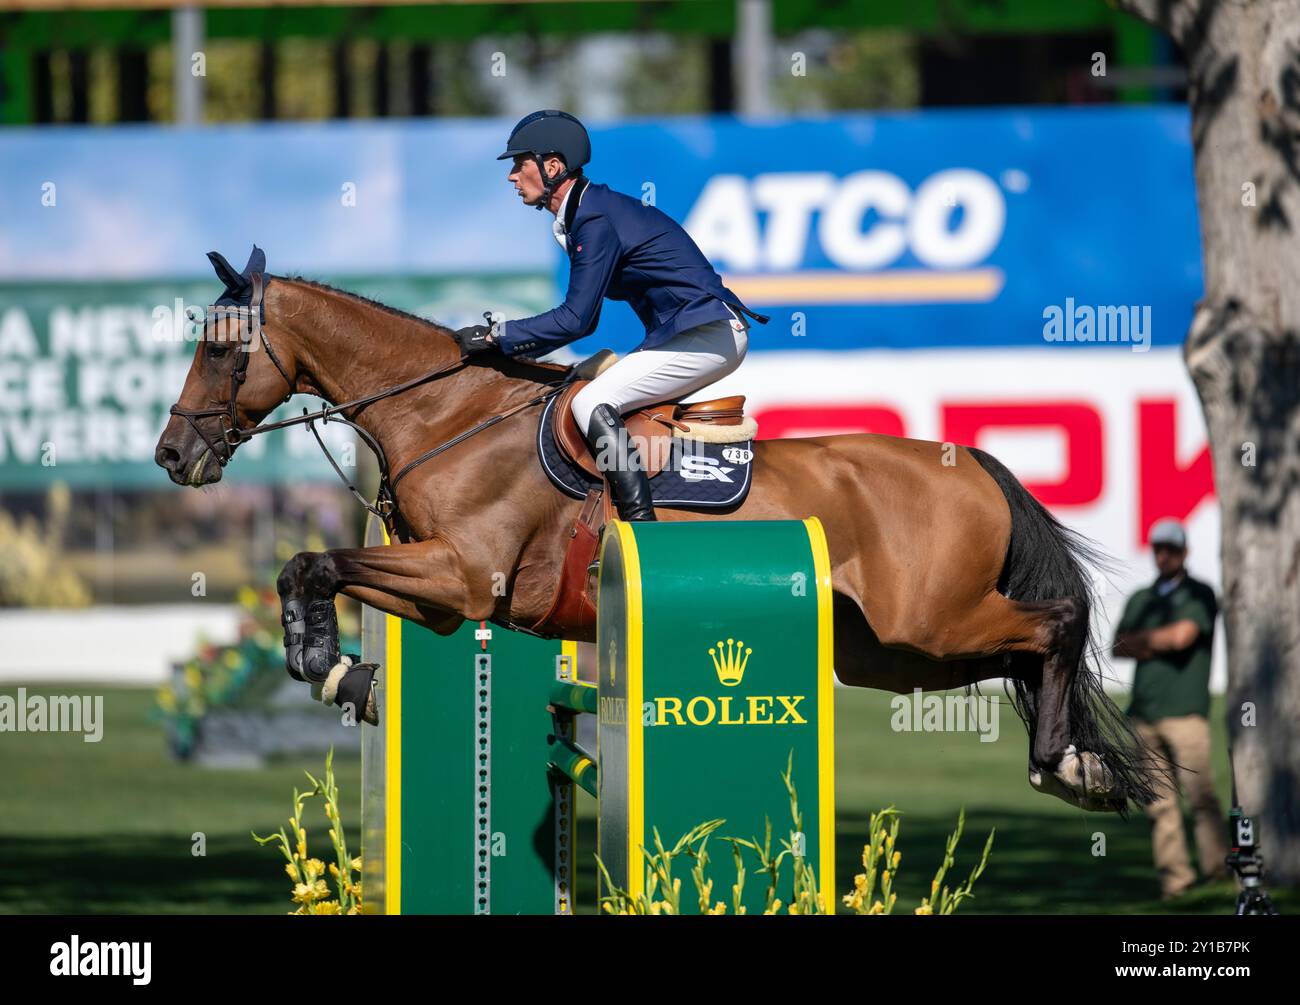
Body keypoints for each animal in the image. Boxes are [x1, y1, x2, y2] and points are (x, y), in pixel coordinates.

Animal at [157, 250, 1164, 816]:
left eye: (221, 346)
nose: (172, 454)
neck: (449, 415)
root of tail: (971, 462)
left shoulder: (463, 576)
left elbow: (314, 562)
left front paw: (325, 661)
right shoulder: (442, 594)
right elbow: (311, 567)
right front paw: (343, 672)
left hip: (930, 620)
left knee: (1055, 624)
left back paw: (1065, 764)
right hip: (895, 652)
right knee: (1021, 650)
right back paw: (1076, 762)